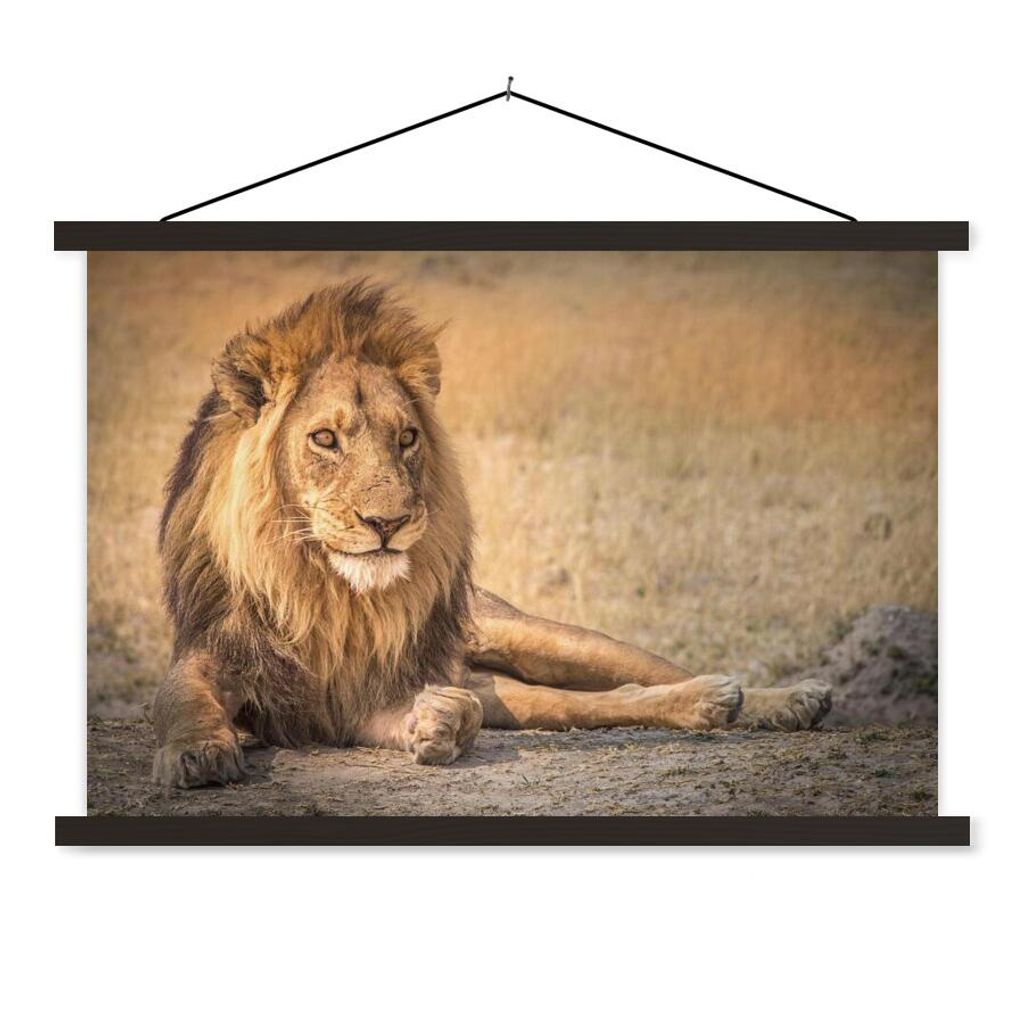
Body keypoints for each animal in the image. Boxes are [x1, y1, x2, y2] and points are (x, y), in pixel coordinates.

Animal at [153, 282, 832, 788]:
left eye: (407, 438)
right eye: (325, 438)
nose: (388, 524)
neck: (325, 589)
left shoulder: (369, 690)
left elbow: (454, 707)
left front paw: (441, 720)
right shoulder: (226, 653)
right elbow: (179, 697)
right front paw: (198, 751)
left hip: (533, 632)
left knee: (638, 671)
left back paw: (775, 698)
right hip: (512, 681)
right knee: (580, 701)